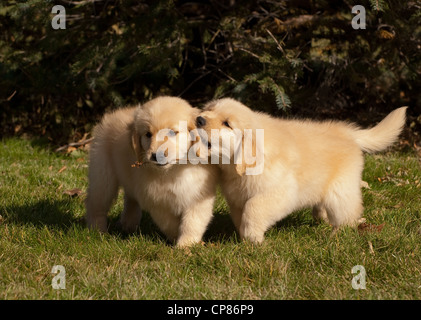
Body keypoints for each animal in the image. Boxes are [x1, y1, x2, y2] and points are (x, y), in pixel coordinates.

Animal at [84, 96, 218, 246]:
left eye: (172, 132)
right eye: (148, 134)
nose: (156, 155)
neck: (174, 170)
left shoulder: (198, 197)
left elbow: (192, 223)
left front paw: (186, 245)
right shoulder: (157, 202)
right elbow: (170, 224)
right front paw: (177, 240)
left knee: (130, 199)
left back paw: (128, 224)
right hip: (103, 176)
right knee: (95, 204)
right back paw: (98, 231)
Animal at [197, 97, 406, 242]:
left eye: (227, 123)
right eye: (209, 109)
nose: (199, 119)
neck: (234, 167)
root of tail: (346, 132)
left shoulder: (280, 193)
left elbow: (253, 209)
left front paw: (253, 238)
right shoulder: (236, 197)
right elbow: (241, 215)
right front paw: (244, 237)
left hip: (340, 189)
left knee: (348, 213)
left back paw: (338, 233)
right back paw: (321, 219)